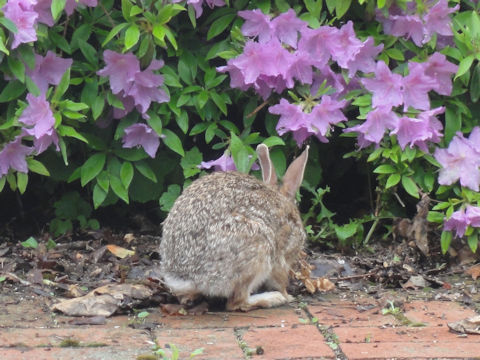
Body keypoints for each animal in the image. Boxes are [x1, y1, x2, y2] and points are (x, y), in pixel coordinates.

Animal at [158, 145, 308, 310]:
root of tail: (186, 277)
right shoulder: (281, 257)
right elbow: (280, 279)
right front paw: (287, 296)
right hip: (258, 250)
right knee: (237, 302)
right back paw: (273, 298)